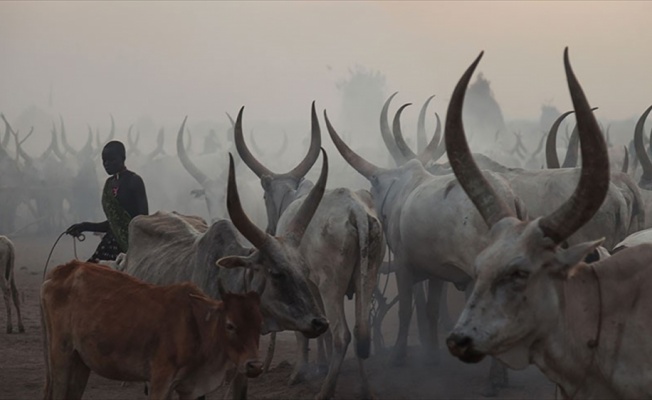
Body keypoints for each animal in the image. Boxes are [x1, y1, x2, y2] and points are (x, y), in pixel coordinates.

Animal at [41, 260, 262, 398]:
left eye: (259, 325)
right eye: (230, 325)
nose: (254, 366)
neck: (197, 327)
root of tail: (65, 269)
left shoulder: (188, 388)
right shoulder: (160, 382)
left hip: (80, 361)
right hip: (62, 356)